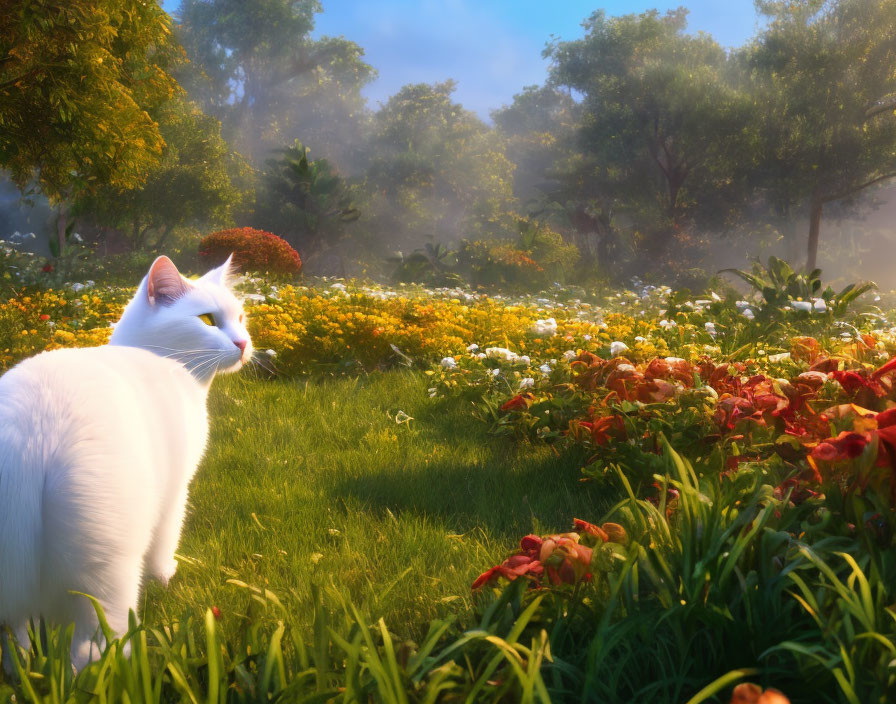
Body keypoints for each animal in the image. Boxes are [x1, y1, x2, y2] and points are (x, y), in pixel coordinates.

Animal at [0, 254, 252, 672]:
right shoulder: (175, 492)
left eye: (242, 317)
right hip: (103, 581)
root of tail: (32, 431)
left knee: (16, 649)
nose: (245, 342)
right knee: (90, 652)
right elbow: (166, 544)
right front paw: (166, 577)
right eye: (207, 320)